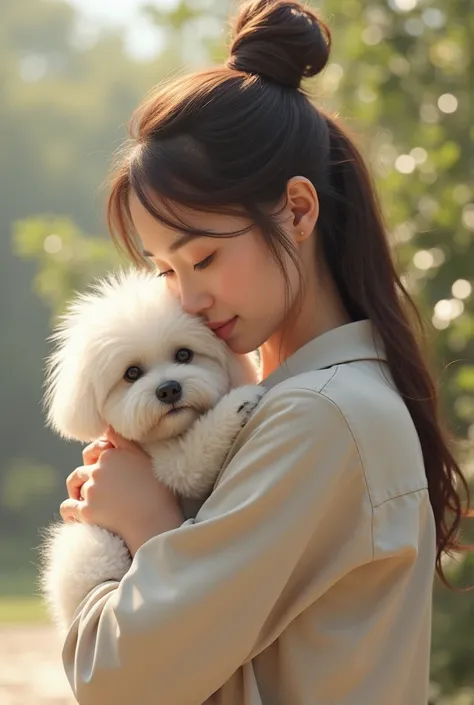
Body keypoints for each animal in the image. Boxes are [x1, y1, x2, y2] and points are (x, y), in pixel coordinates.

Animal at [39, 268, 264, 628]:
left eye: (184, 354)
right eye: (131, 373)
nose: (169, 389)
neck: (166, 437)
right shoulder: (176, 467)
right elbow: (195, 455)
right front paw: (239, 402)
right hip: (94, 545)